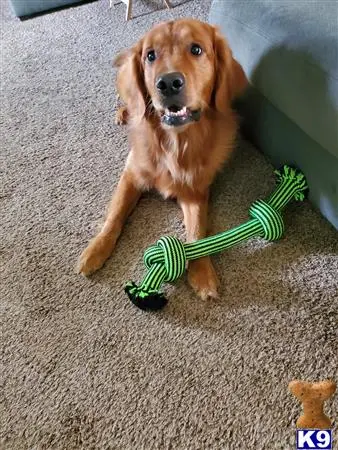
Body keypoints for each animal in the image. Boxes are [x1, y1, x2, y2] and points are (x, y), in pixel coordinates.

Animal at [76, 18, 247, 298]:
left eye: (196, 49)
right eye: (150, 55)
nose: (167, 83)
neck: (173, 144)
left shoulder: (195, 190)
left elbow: (198, 231)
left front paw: (203, 272)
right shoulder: (131, 173)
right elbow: (115, 216)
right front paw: (96, 250)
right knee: (129, 101)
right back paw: (123, 113)